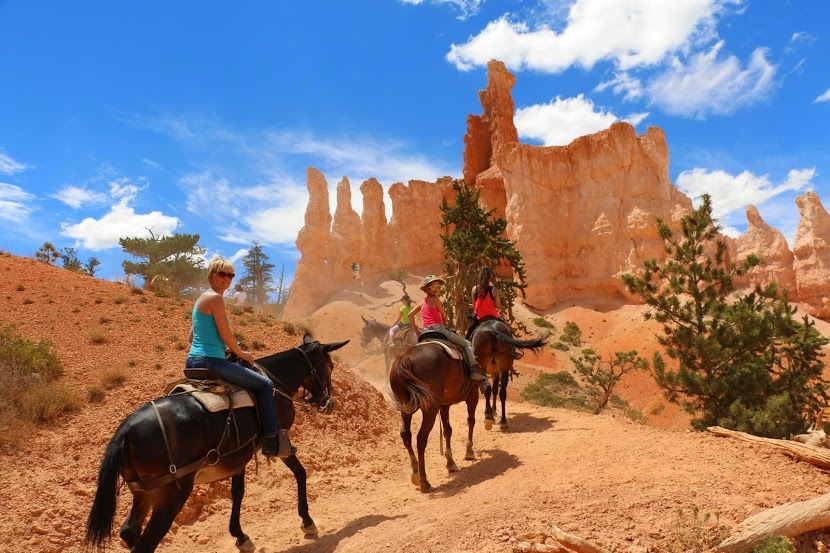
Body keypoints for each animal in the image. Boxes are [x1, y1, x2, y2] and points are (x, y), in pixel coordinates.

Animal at [87, 332, 352, 552]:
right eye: (330, 365)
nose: (328, 403)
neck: (275, 384)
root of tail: (127, 429)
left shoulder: (239, 455)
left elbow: (238, 492)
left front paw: (240, 536)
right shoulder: (281, 441)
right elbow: (300, 472)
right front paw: (307, 521)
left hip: (143, 493)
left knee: (129, 530)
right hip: (171, 495)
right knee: (145, 543)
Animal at [386, 340, 478, 492]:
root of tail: (405, 359)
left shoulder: (444, 405)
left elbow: (447, 430)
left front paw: (450, 463)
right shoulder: (472, 396)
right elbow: (471, 421)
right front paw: (469, 452)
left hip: (406, 406)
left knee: (406, 434)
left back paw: (416, 474)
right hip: (430, 409)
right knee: (421, 438)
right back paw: (424, 482)